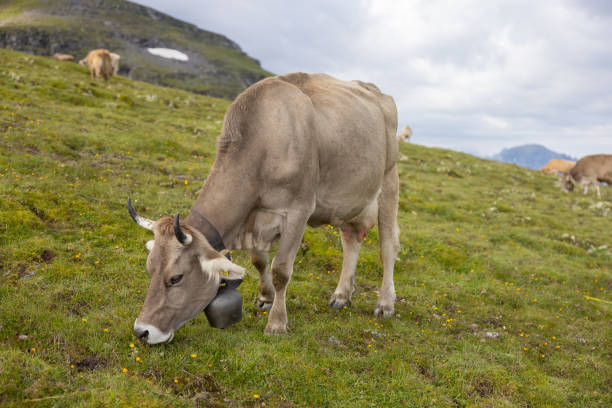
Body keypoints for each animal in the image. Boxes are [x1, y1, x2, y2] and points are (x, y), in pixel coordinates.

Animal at [126, 74, 400, 344]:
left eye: (176, 278)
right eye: (149, 269)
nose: (142, 331)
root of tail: (375, 90)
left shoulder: (299, 210)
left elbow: (281, 270)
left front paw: (277, 323)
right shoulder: (255, 218)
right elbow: (259, 260)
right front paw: (266, 298)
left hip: (389, 181)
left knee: (388, 248)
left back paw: (385, 303)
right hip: (348, 200)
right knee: (351, 240)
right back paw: (342, 295)